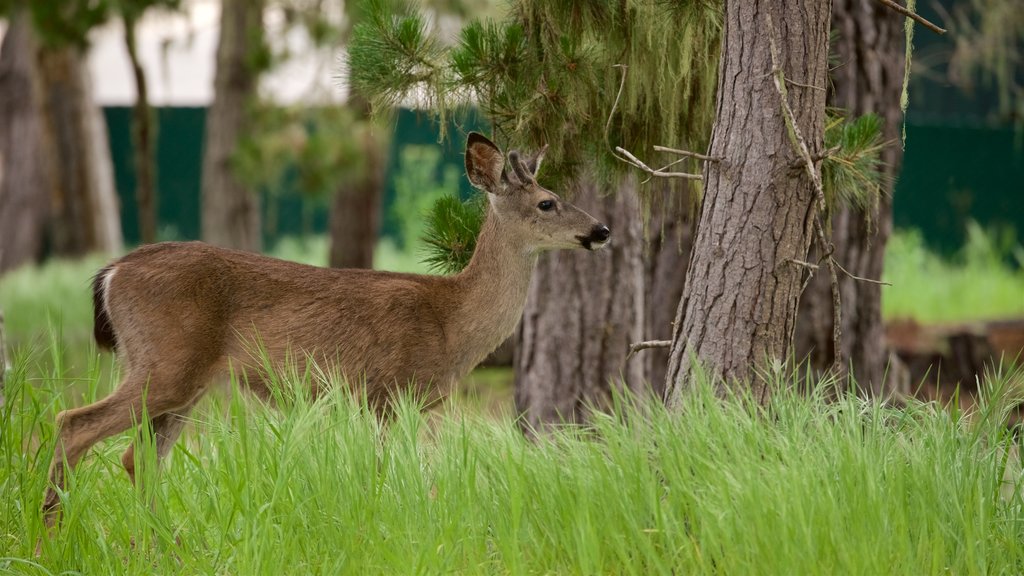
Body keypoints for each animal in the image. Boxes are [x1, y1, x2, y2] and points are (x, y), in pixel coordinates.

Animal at [41, 132, 606, 522]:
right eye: (547, 202)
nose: (601, 229)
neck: (453, 321)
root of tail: (112, 272)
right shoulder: (389, 392)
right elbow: (392, 475)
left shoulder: (419, 404)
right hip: (166, 363)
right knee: (73, 424)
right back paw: (52, 536)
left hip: (183, 380)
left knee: (137, 458)